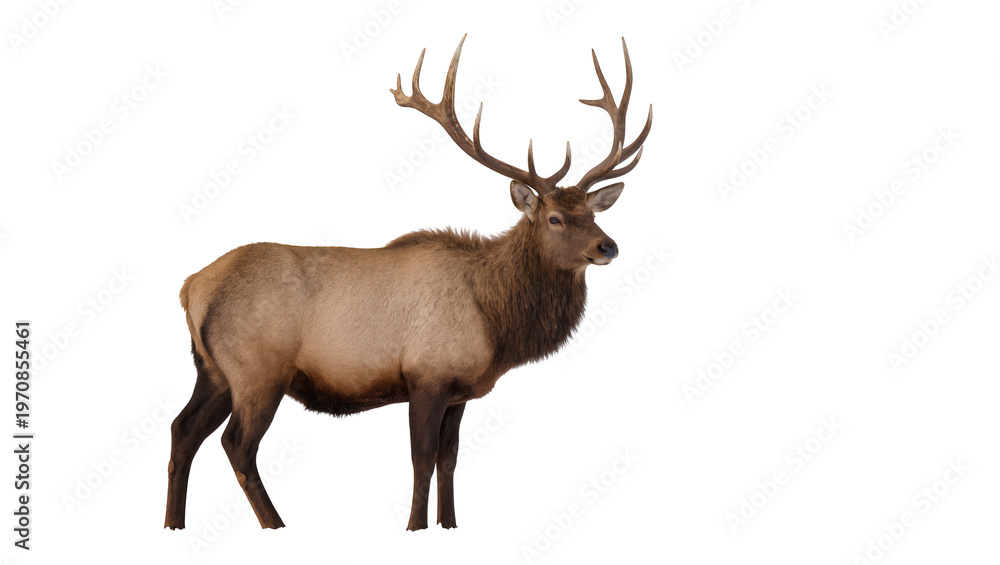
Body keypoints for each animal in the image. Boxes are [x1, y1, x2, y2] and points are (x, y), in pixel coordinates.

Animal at [164, 35, 651, 532]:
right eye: (554, 218)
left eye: (591, 213)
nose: (608, 246)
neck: (495, 322)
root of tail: (190, 287)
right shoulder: (427, 376)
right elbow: (422, 459)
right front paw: (415, 527)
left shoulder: (460, 391)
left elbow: (449, 459)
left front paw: (449, 525)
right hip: (257, 369)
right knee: (237, 445)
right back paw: (276, 525)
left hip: (212, 371)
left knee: (182, 430)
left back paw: (173, 523)